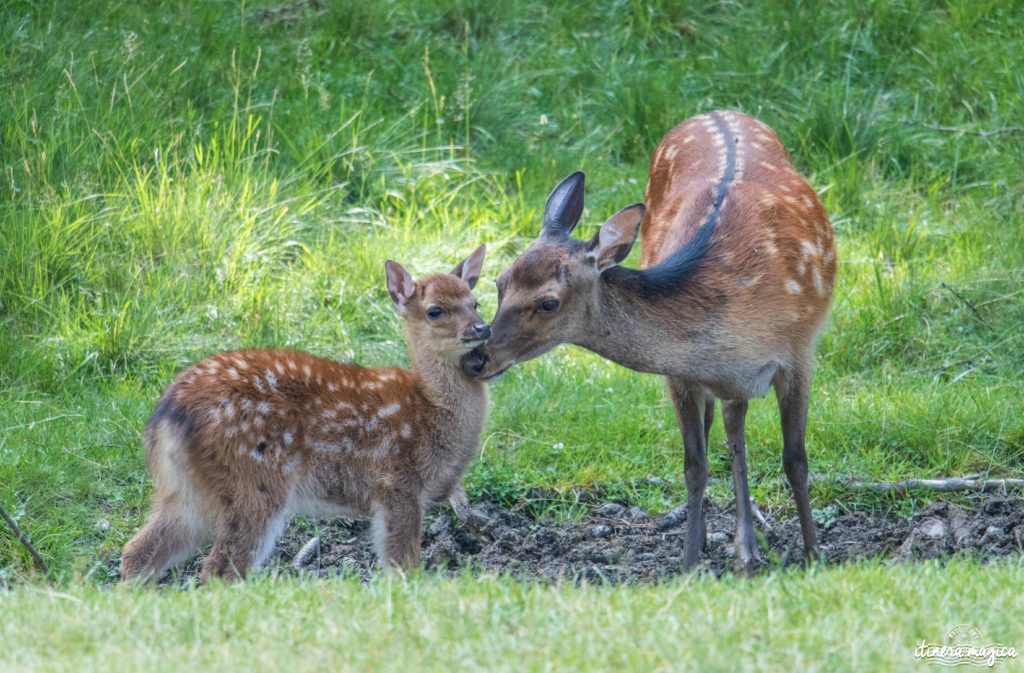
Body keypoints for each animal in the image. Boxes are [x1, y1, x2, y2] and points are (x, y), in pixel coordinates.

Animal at [475, 110, 835, 565]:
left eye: (548, 303)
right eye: (500, 282)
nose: (478, 358)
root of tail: (716, 111)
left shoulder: (798, 352)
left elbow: (796, 459)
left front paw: (814, 555)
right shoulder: (680, 375)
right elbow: (694, 465)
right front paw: (689, 561)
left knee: (737, 428)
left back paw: (748, 546)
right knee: (729, 426)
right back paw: (739, 543)